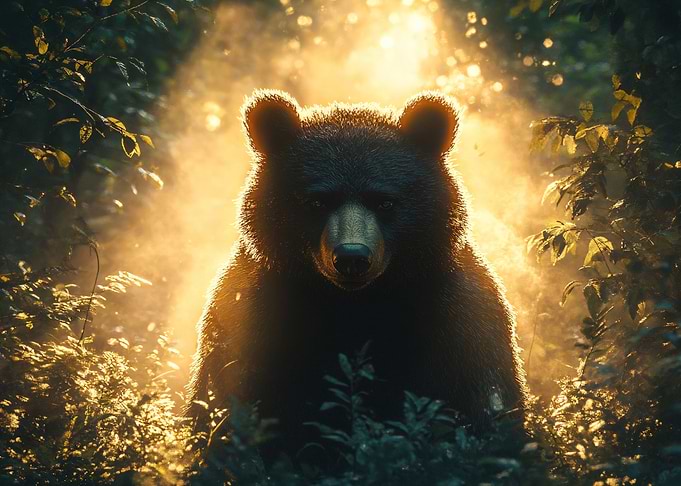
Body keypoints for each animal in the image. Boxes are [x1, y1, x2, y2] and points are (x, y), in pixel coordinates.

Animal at [187, 89, 528, 456]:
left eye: (385, 201)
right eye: (318, 201)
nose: (352, 257)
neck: (356, 303)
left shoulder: (455, 315)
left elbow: (482, 403)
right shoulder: (254, 315)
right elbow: (229, 401)